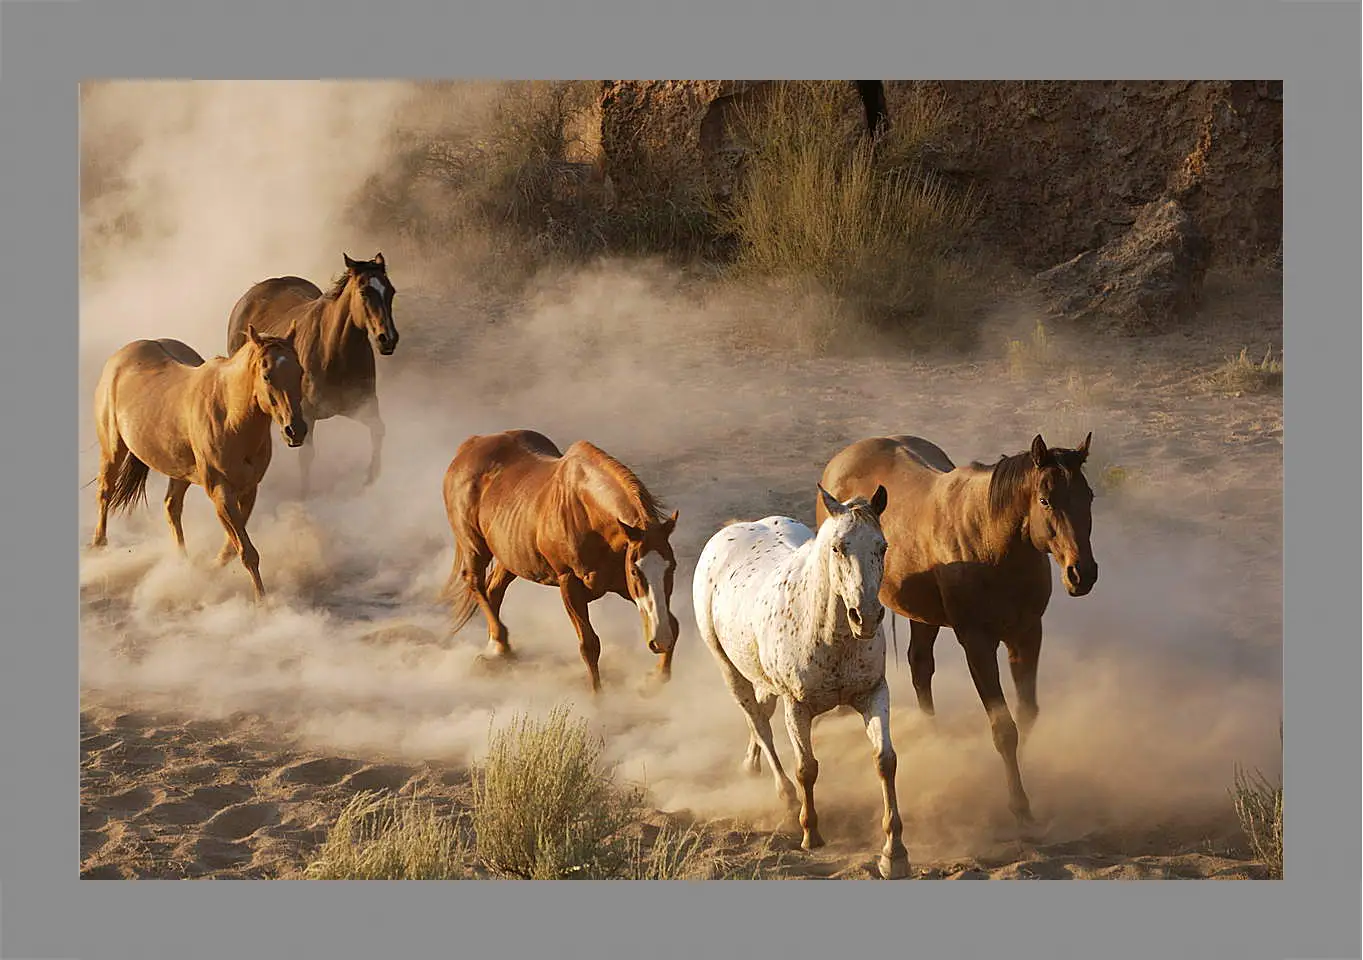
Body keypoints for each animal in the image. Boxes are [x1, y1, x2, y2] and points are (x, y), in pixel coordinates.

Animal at [92, 325, 310, 602]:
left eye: (300, 371)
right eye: (267, 375)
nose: (296, 430)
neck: (230, 417)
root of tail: (120, 357)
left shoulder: (249, 489)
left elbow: (233, 547)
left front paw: (210, 569)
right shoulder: (220, 492)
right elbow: (247, 551)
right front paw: (262, 601)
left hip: (179, 472)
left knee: (171, 507)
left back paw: (182, 564)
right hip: (112, 451)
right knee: (105, 492)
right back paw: (99, 546)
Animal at [226, 250, 397, 499]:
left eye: (391, 291)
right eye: (364, 292)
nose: (388, 339)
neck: (334, 352)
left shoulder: (362, 405)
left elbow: (378, 430)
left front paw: (371, 478)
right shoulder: (304, 415)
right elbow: (306, 456)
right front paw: (305, 495)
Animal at [441, 428, 681, 690]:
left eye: (672, 567)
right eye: (636, 571)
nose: (659, 640)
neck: (587, 514)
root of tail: (470, 445)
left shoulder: (621, 584)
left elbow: (674, 624)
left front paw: (655, 680)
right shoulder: (569, 583)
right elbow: (589, 645)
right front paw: (598, 698)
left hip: (509, 556)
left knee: (493, 590)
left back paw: (499, 648)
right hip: (474, 546)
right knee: (475, 582)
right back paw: (499, 646)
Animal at [692, 488, 905, 878]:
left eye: (882, 547)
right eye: (838, 547)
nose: (866, 617)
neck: (829, 634)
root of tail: (732, 530)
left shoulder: (873, 693)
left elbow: (885, 761)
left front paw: (893, 853)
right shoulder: (798, 706)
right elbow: (807, 768)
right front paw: (811, 834)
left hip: (762, 678)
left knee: (761, 713)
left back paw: (750, 766)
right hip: (729, 670)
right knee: (759, 722)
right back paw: (785, 797)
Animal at [817, 430, 1095, 823]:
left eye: (1089, 497)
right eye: (1045, 500)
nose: (1082, 573)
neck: (992, 542)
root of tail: (842, 459)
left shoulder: (1026, 635)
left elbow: (1027, 714)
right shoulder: (977, 644)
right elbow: (1003, 728)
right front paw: (1018, 803)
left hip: (923, 616)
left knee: (920, 666)